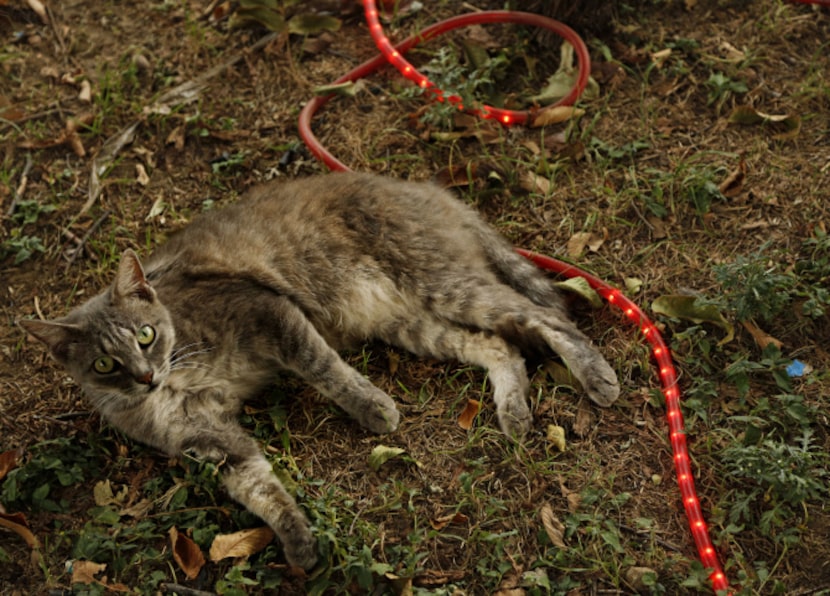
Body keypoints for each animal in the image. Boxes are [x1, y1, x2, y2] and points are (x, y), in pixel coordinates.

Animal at [19, 171, 620, 568]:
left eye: (145, 334)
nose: (145, 376)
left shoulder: (270, 314)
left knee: (547, 317)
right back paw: (513, 411)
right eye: (105, 364)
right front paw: (299, 543)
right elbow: (259, 489)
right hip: (414, 321)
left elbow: (324, 368)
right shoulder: (208, 441)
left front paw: (375, 410)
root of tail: (426, 188)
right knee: (499, 347)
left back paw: (596, 377)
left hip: (445, 285)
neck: (178, 377)